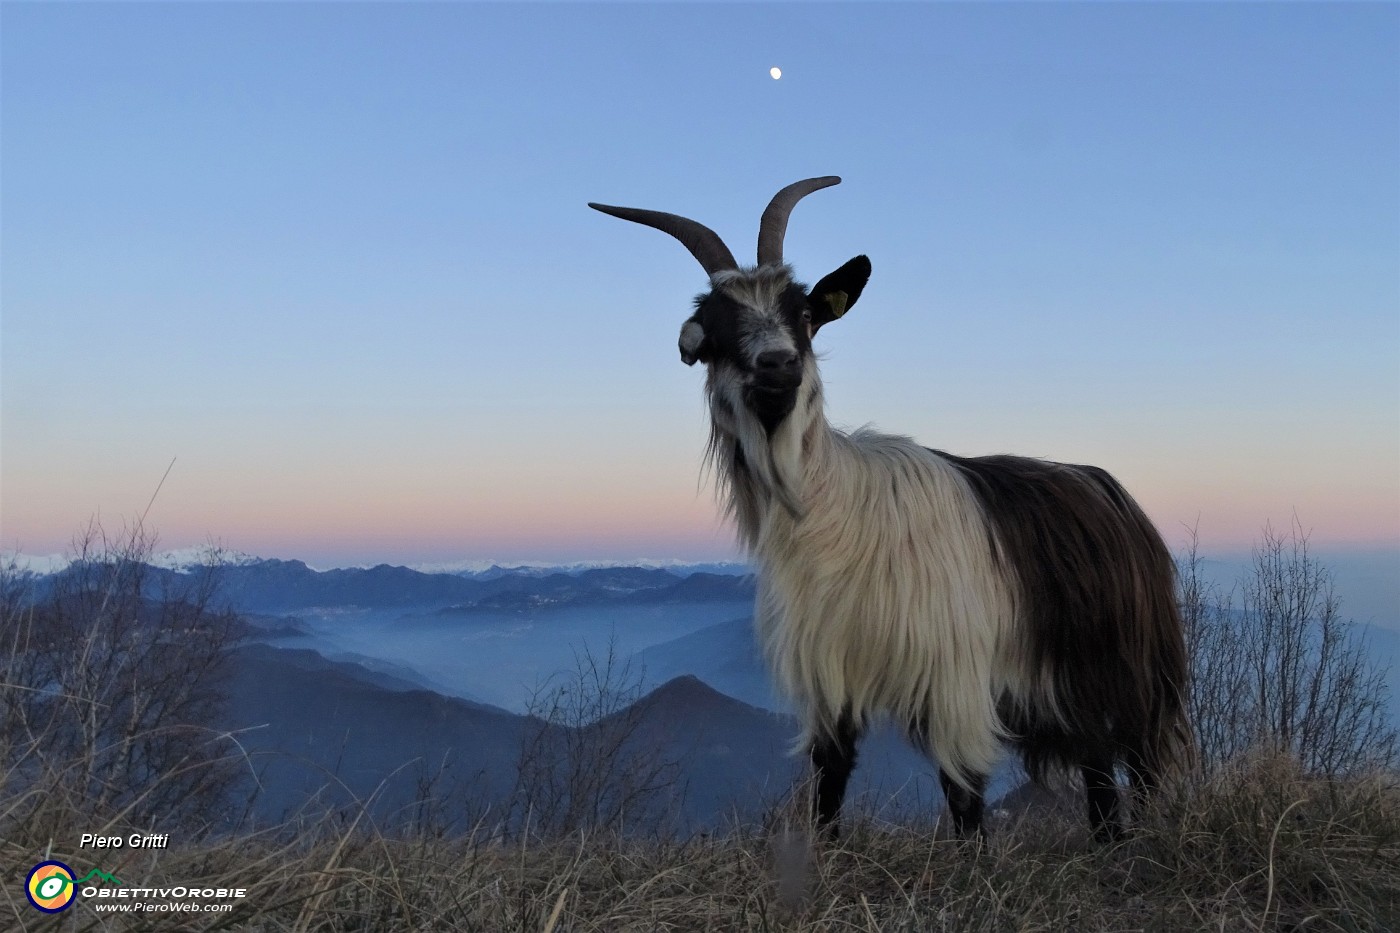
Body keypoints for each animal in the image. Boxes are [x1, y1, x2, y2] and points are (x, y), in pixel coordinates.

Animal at [590, 177, 1192, 840]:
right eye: (717, 328)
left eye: (804, 315)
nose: (778, 364)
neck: (832, 513)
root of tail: (1109, 490)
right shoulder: (831, 674)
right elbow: (829, 781)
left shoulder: (954, 680)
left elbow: (965, 800)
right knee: (1097, 763)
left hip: (1129, 673)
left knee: (1130, 760)